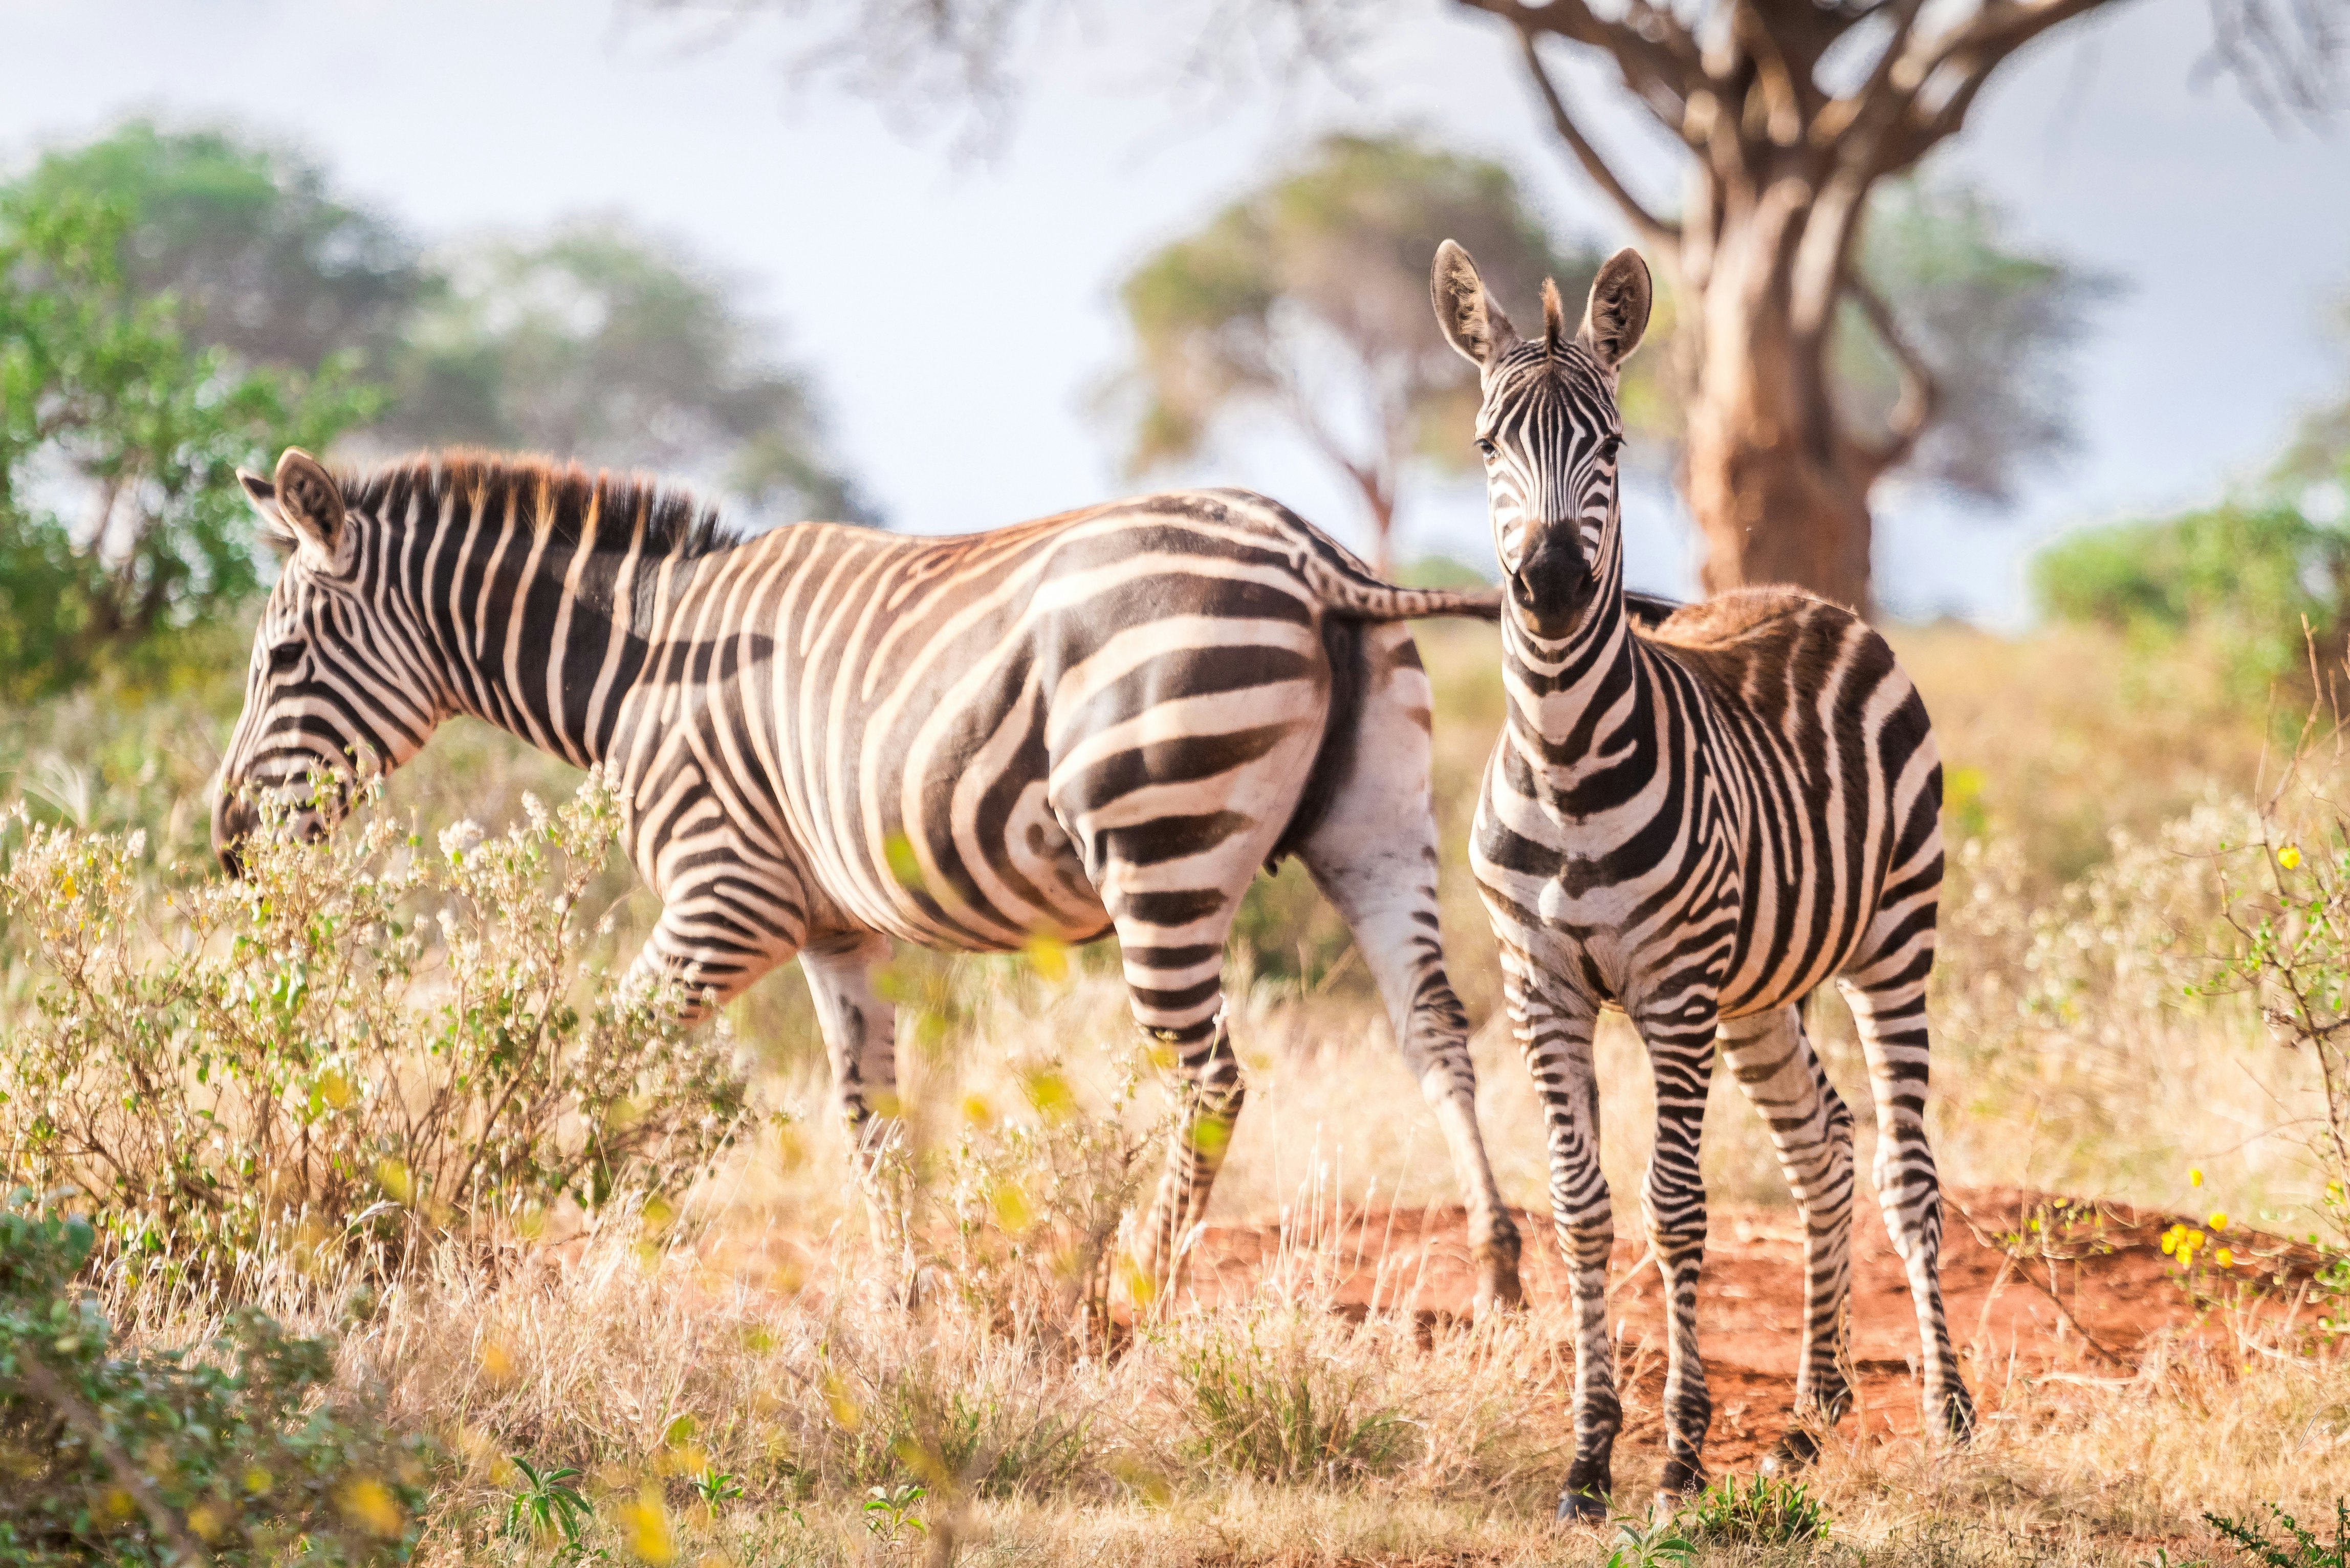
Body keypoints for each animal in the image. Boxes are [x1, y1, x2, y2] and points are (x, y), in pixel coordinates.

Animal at [211, 447, 1528, 1313]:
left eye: (284, 656)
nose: (227, 842)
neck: (642, 666)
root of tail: (1312, 554)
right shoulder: (834, 927)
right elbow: (869, 1114)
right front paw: (907, 1291)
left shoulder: (725, 893)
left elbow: (597, 1059)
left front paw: (557, 1231)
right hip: (1378, 824)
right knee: (1434, 1029)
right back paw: (1499, 1264)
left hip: (1157, 841)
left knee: (1210, 1080)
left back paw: (1130, 1297)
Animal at [1428, 242, 1972, 1514]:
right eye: (1484, 443)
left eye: (1614, 446)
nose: (1552, 581)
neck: (1566, 763)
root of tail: (1809, 599)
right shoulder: (1541, 990)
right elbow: (1580, 1208)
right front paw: (1587, 1456)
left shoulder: (1673, 993)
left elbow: (1674, 1210)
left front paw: (1677, 1453)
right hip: (1760, 989)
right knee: (1821, 1143)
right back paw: (1814, 1406)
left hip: (1893, 941)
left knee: (1904, 1171)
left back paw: (1946, 1410)